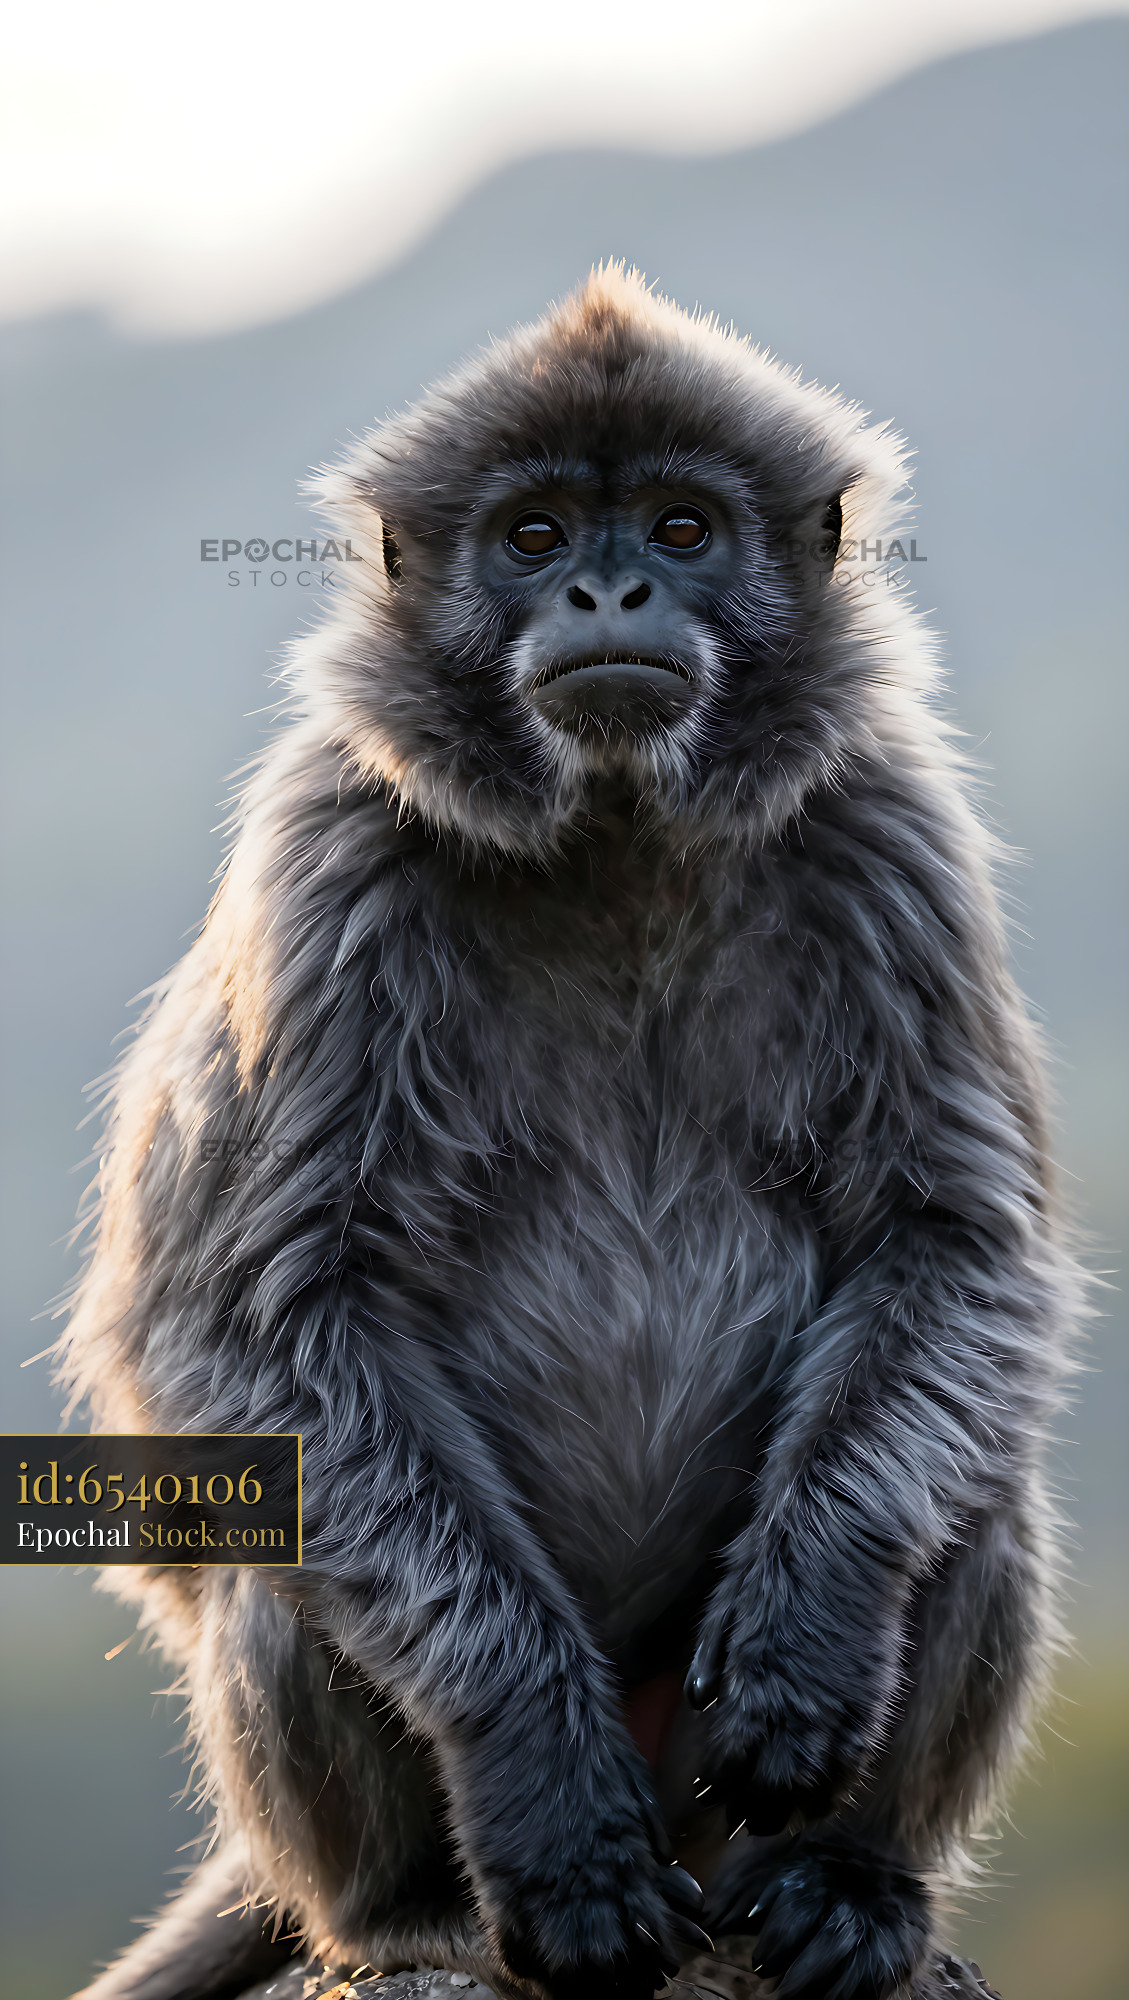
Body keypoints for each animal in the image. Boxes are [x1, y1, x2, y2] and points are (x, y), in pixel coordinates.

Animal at [61, 267, 1078, 2000]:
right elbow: (249, 1331)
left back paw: (853, 1884)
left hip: (709, 1793)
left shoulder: (889, 840)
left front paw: (806, 1650)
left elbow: (958, 1246)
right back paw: (417, 1909)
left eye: (680, 527)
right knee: (274, 1531)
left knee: (972, 1480)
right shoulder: (331, 863)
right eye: (533, 537)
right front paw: (550, 1813)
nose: (610, 590)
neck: (618, 838)